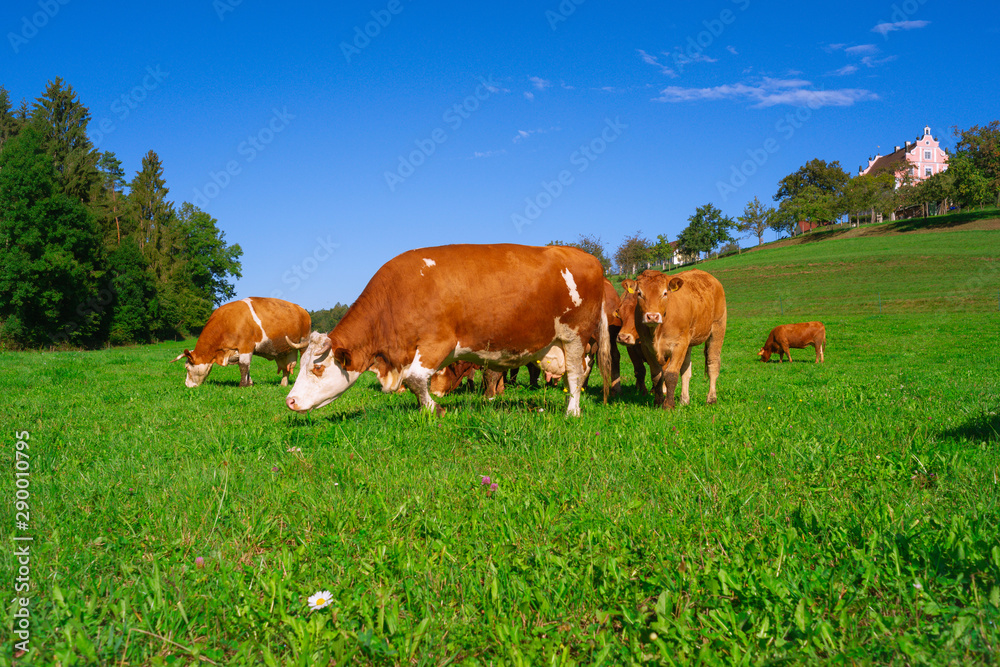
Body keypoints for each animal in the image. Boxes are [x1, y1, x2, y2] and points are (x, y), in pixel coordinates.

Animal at [172, 298, 310, 388]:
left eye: (187, 367)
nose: (187, 385)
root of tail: (302, 309)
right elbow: (245, 367)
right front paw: (250, 384)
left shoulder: (246, 346)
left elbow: (243, 366)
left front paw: (242, 385)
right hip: (285, 350)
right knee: (286, 368)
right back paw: (283, 384)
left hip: (304, 342)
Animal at [282, 243, 608, 414]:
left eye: (317, 368)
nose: (290, 400)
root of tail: (587, 257)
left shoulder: (437, 343)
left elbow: (415, 379)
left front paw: (434, 409)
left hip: (575, 337)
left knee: (575, 374)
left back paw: (572, 411)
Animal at [632, 268, 728, 410]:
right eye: (639, 293)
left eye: (665, 293)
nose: (652, 316)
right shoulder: (646, 346)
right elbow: (657, 375)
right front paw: (658, 402)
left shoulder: (679, 344)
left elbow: (671, 374)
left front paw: (668, 405)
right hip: (689, 341)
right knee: (686, 370)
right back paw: (684, 400)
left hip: (717, 328)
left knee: (713, 364)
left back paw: (711, 399)